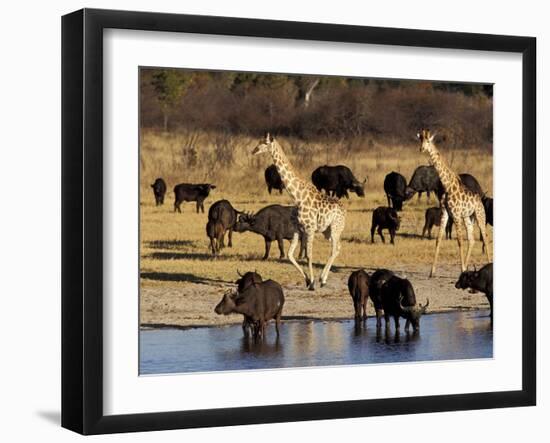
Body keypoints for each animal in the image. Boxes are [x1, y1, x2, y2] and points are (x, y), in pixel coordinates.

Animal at [253, 133, 348, 292]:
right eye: (258, 142)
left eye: (265, 143)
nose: (253, 151)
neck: (297, 197)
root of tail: (345, 211)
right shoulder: (297, 229)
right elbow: (290, 255)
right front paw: (308, 280)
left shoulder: (310, 229)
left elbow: (308, 255)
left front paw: (312, 283)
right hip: (327, 231)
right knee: (338, 248)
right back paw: (323, 279)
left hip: (336, 228)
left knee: (334, 249)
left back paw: (322, 280)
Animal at [418, 128, 492, 280]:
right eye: (420, 140)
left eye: (428, 141)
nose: (421, 149)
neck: (447, 186)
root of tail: (479, 199)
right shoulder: (445, 213)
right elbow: (438, 239)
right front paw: (432, 272)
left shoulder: (456, 214)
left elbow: (459, 241)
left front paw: (461, 269)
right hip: (467, 217)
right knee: (472, 239)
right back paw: (467, 266)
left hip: (479, 215)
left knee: (485, 236)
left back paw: (487, 265)